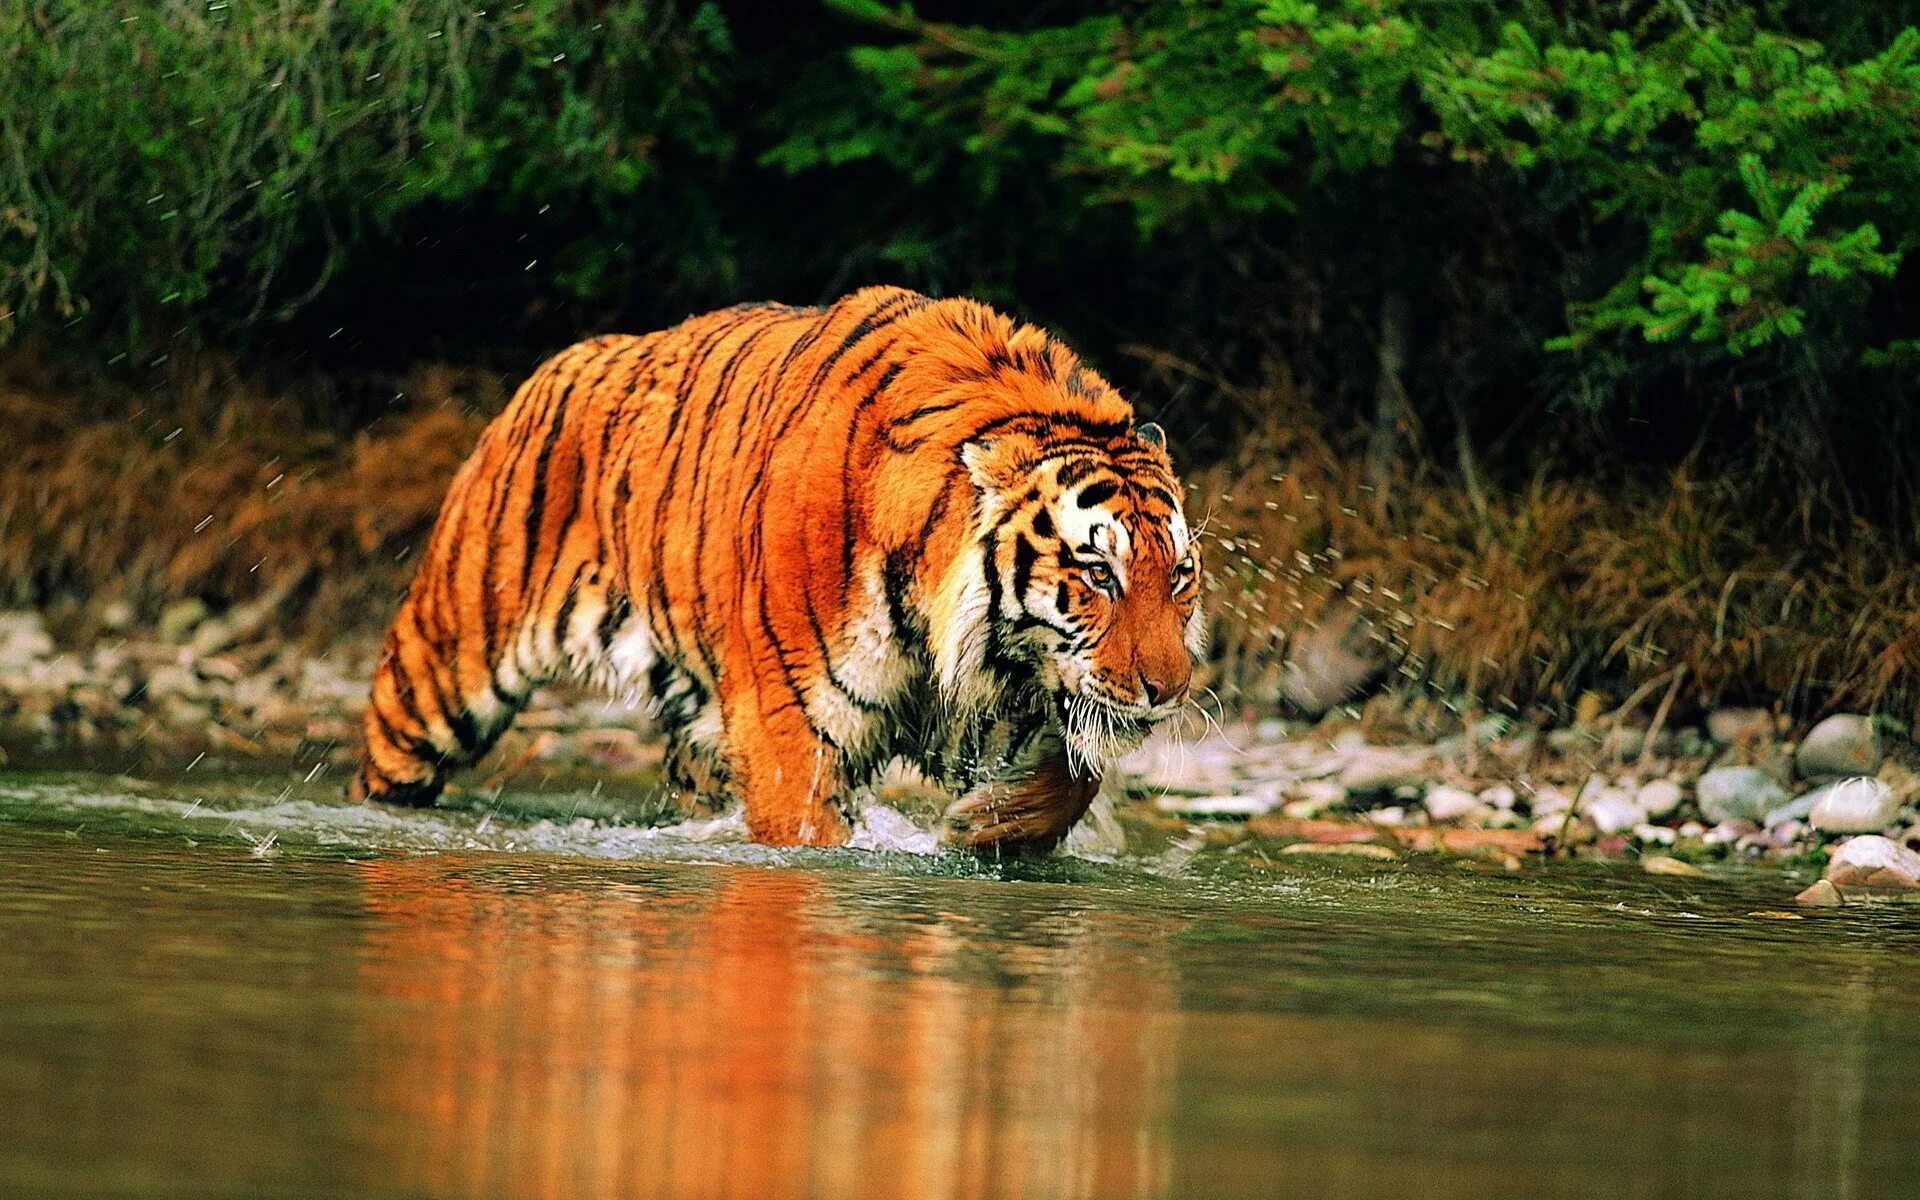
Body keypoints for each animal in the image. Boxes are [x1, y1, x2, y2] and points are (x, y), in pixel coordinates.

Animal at [349, 286, 1198, 852]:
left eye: (1179, 580)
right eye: (1098, 575)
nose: (1170, 690)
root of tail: (563, 359)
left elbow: (1075, 777)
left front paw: (986, 826)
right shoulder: (791, 728)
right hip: (440, 672)